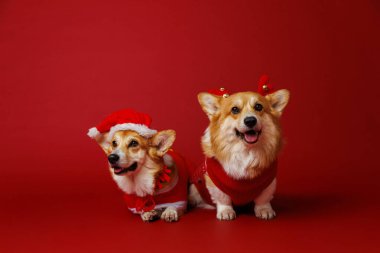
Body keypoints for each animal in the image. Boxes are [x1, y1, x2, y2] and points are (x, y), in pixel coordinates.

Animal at [189, 76, 290, 220]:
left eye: (258, 106)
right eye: (235, 109)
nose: (250, 120)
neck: (246, 150)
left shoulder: (268, 183)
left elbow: (263, 199)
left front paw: (264, 210)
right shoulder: (215, 182)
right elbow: (223, 199)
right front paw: (226, 212)